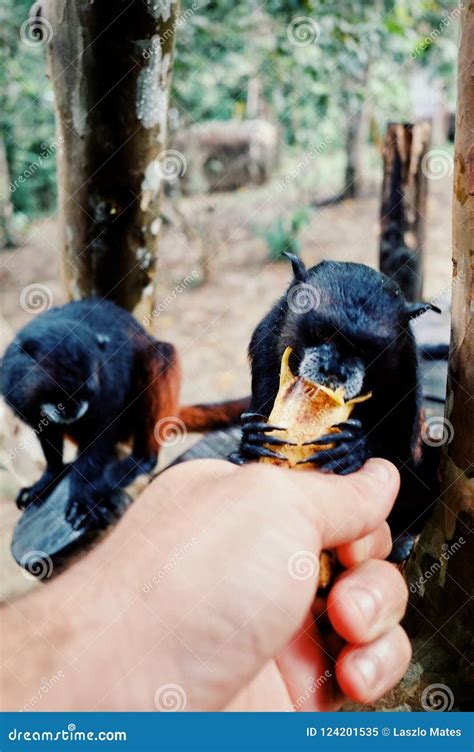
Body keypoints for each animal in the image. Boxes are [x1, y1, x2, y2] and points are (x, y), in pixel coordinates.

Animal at [1, 298, 249, 529]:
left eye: (86, 392)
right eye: (62, 394)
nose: (75, 408)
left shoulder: (109, 378)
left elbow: (104, 427)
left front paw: (81, 493)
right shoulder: (14, 391)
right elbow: (45, 429)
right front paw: (49, 476)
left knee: (160, 354)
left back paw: (140, 460)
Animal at [230, 255, 442, 558]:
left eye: (365, 350)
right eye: (320, 334)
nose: (333, 372)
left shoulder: (405, 370)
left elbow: (397, 453)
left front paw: (354, 449)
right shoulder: (266, 346)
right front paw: (249, 443)